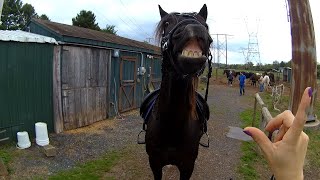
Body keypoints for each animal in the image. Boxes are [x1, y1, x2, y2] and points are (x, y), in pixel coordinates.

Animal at [140, 4, 212, 180]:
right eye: (167, 23)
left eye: (205, 25)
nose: (195, 29)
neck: (172, 127)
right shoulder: (155, 163)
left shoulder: (187, 166)